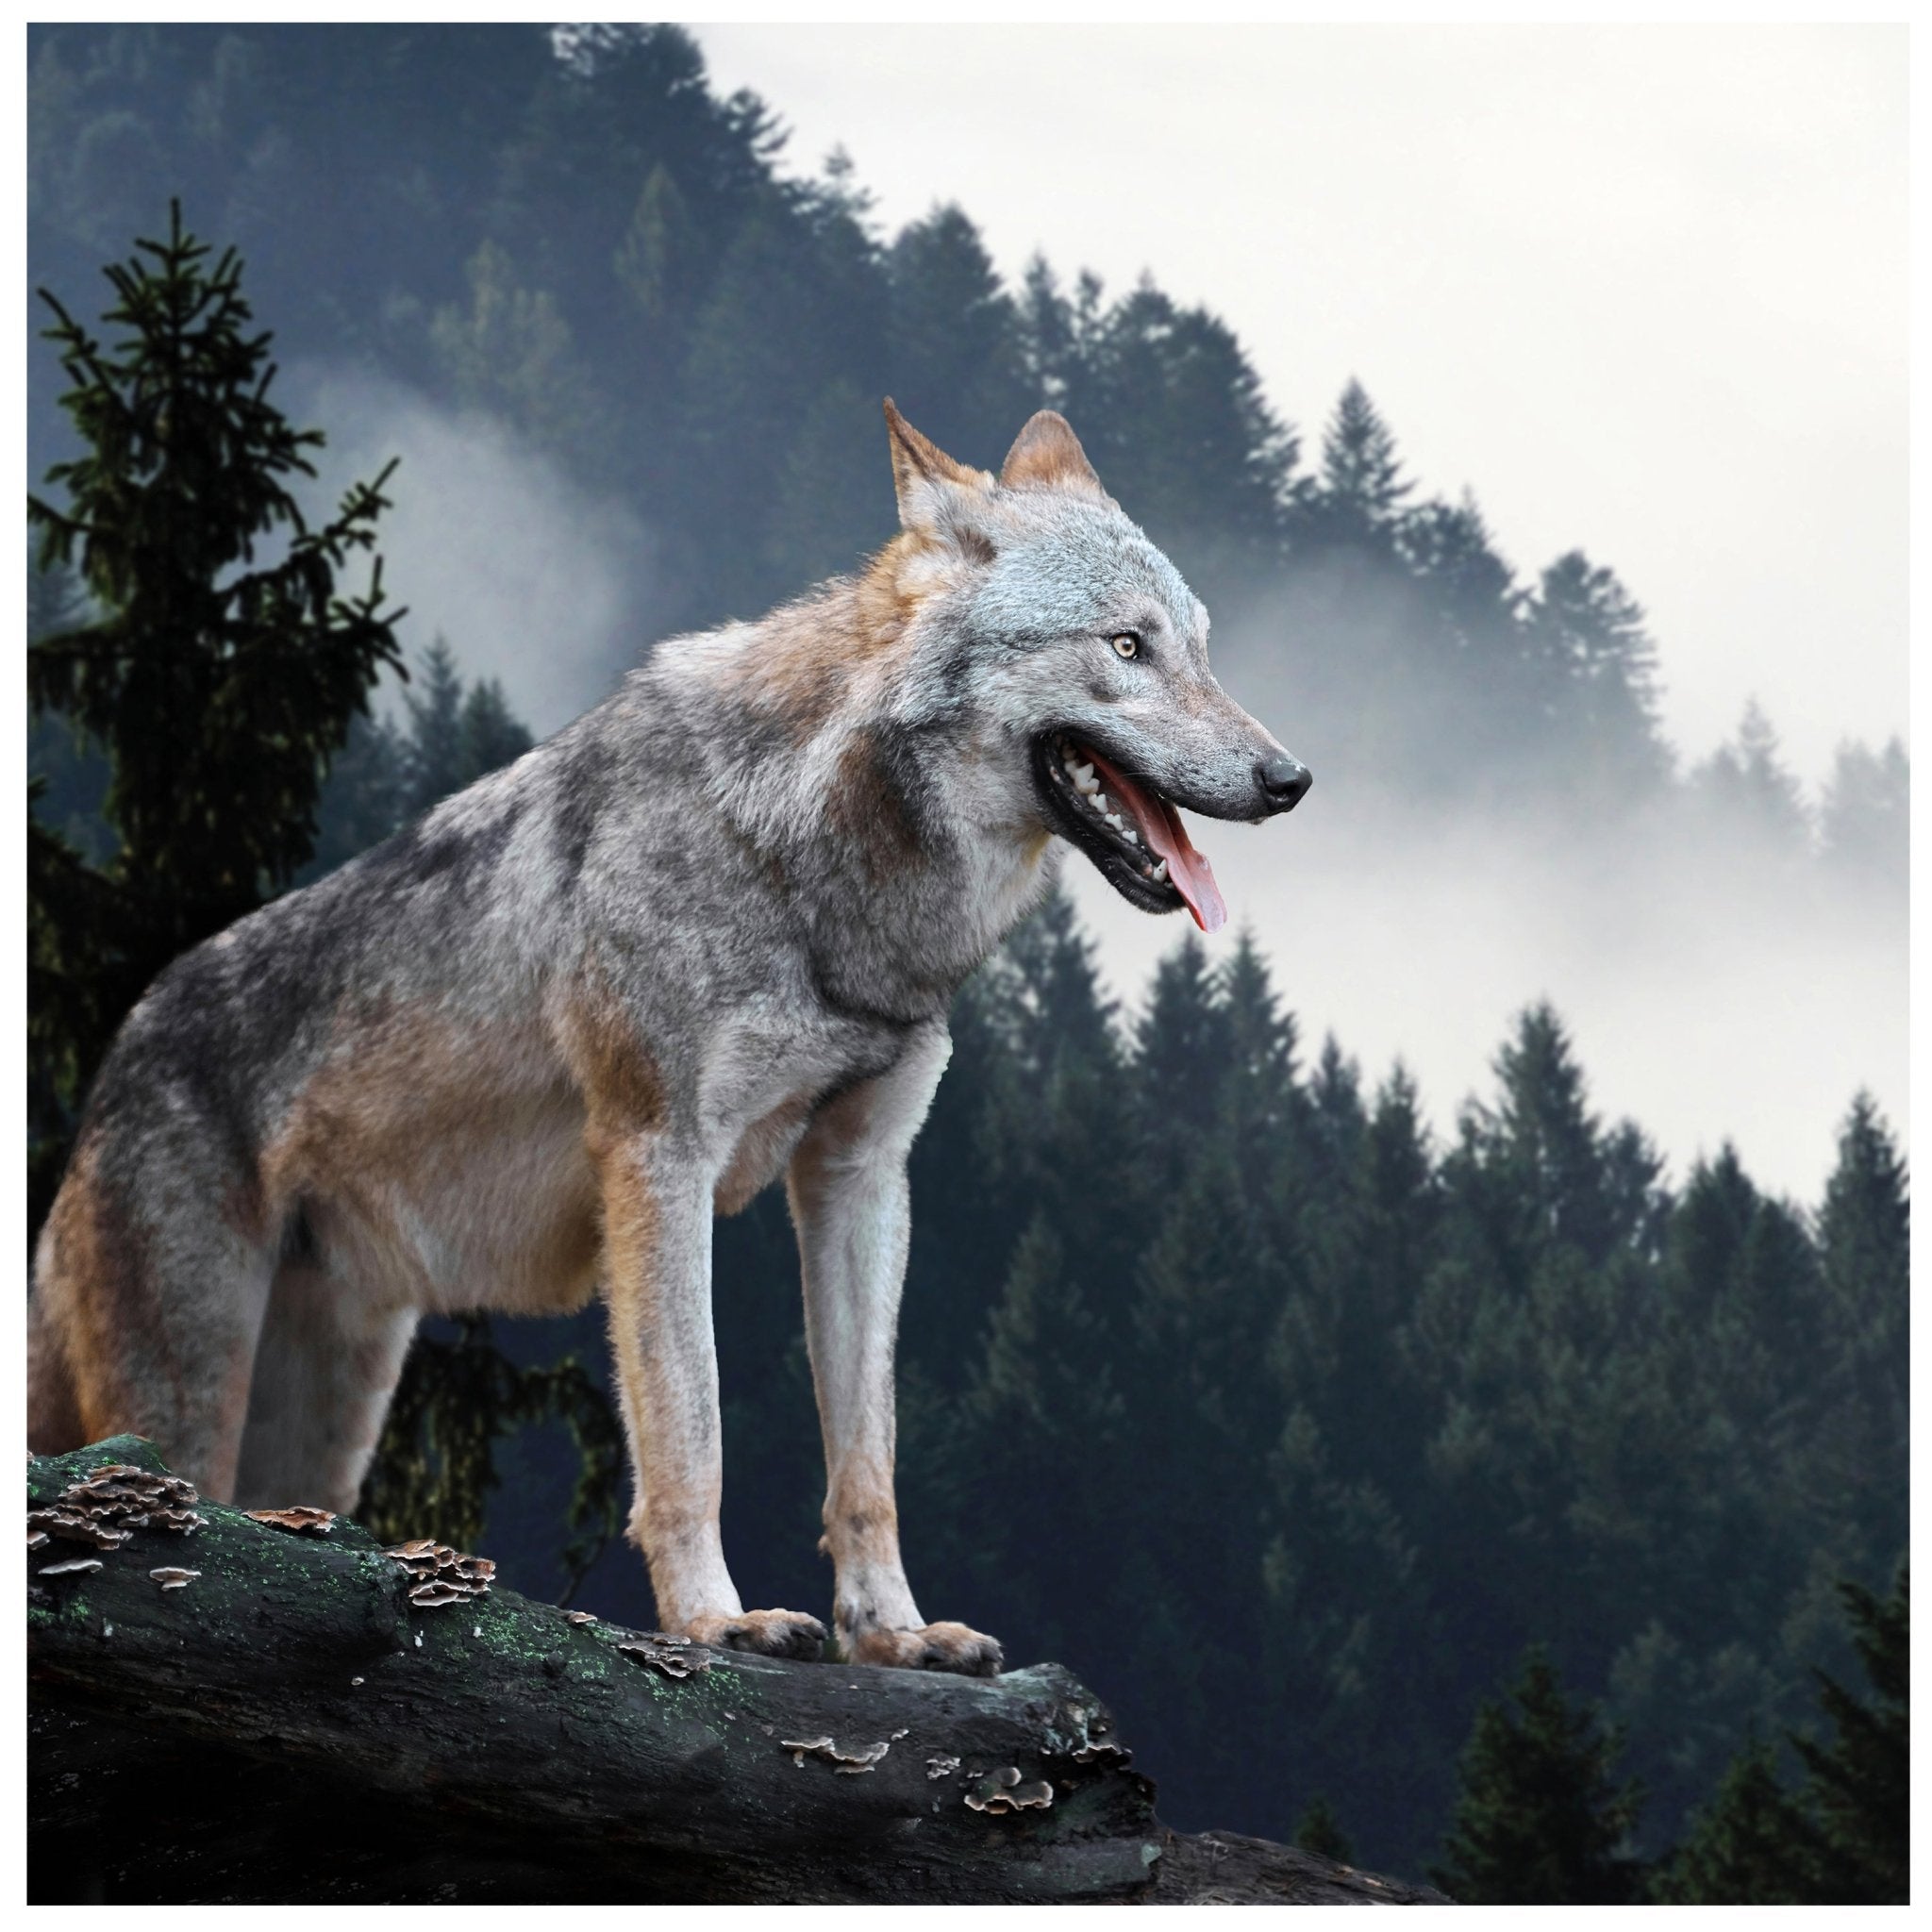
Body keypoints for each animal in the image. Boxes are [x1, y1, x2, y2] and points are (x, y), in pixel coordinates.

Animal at [28, 403, 1310, 1673]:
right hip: (191, 1402)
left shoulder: (860, 1175)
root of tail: (117, 1054)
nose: (1289, 776)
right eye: (1126, 645)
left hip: (325, 1429)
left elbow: (867, 1455)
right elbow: (690, 1431)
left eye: (1200, 647)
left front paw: (891, 1633)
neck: (813, 865)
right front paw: (713, 1620)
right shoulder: (659, 1157)